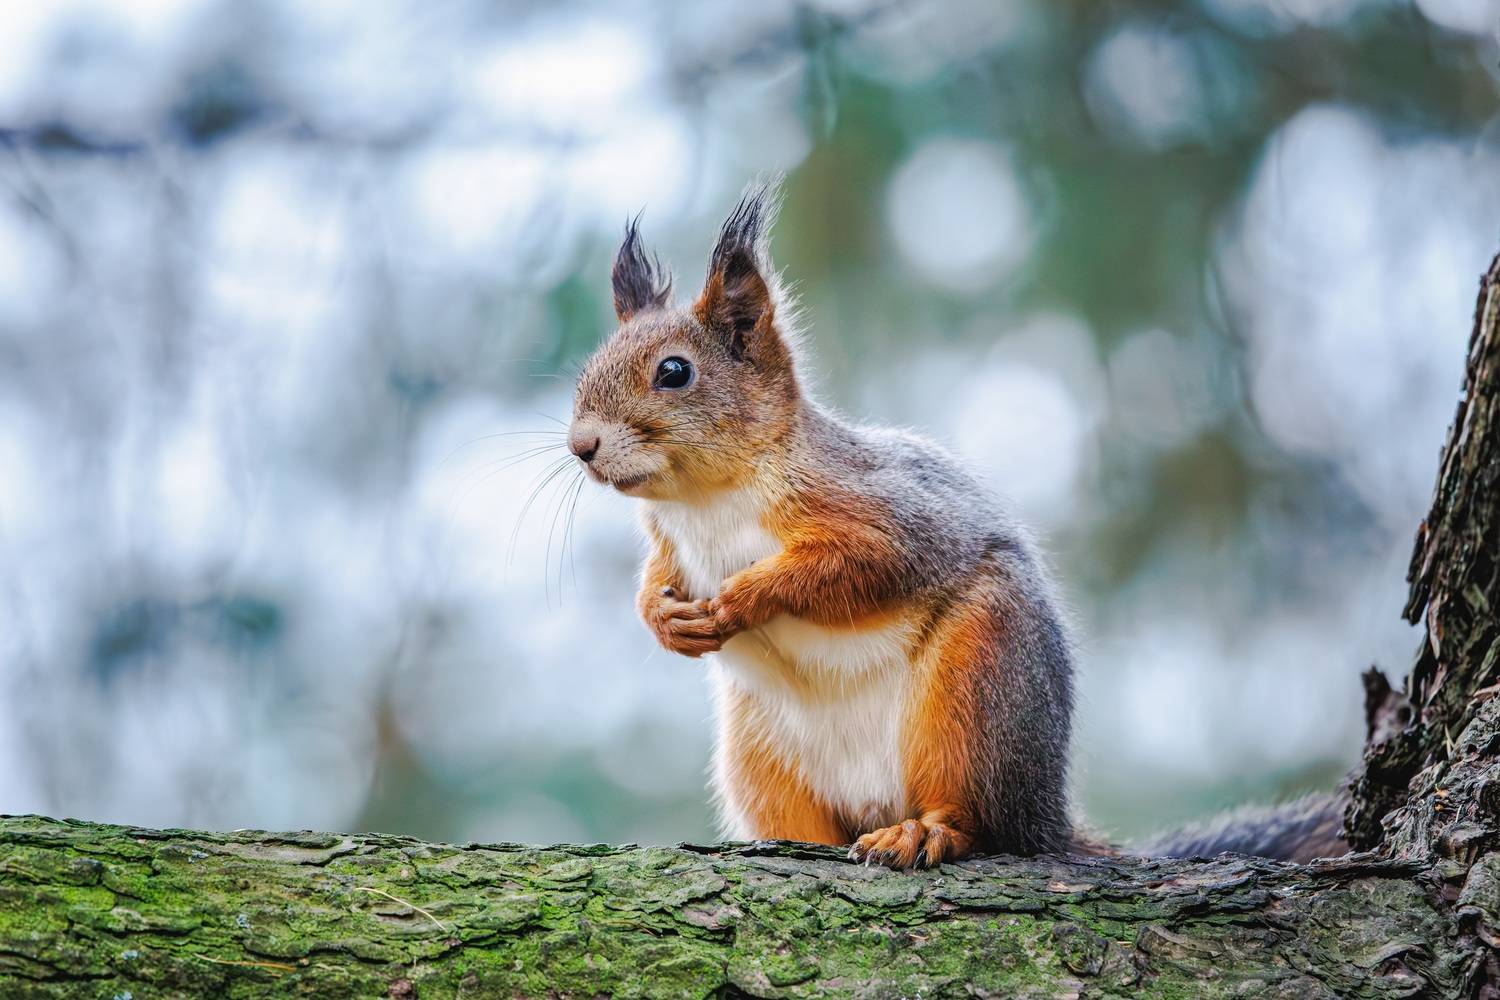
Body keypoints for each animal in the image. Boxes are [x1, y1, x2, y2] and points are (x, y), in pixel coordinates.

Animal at [566, 180, 1348, 869]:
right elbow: (656, 581)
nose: (581, 446)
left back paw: (925, 833)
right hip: (759, 751)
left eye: (674, 372)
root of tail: (1046, 818)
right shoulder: (670, 543)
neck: (707, 500)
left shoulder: (883, 512)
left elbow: (858, 566)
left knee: (977, 819)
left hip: (975, 690)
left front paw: (744, 596)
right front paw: (664, 619)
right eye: (587, 367)